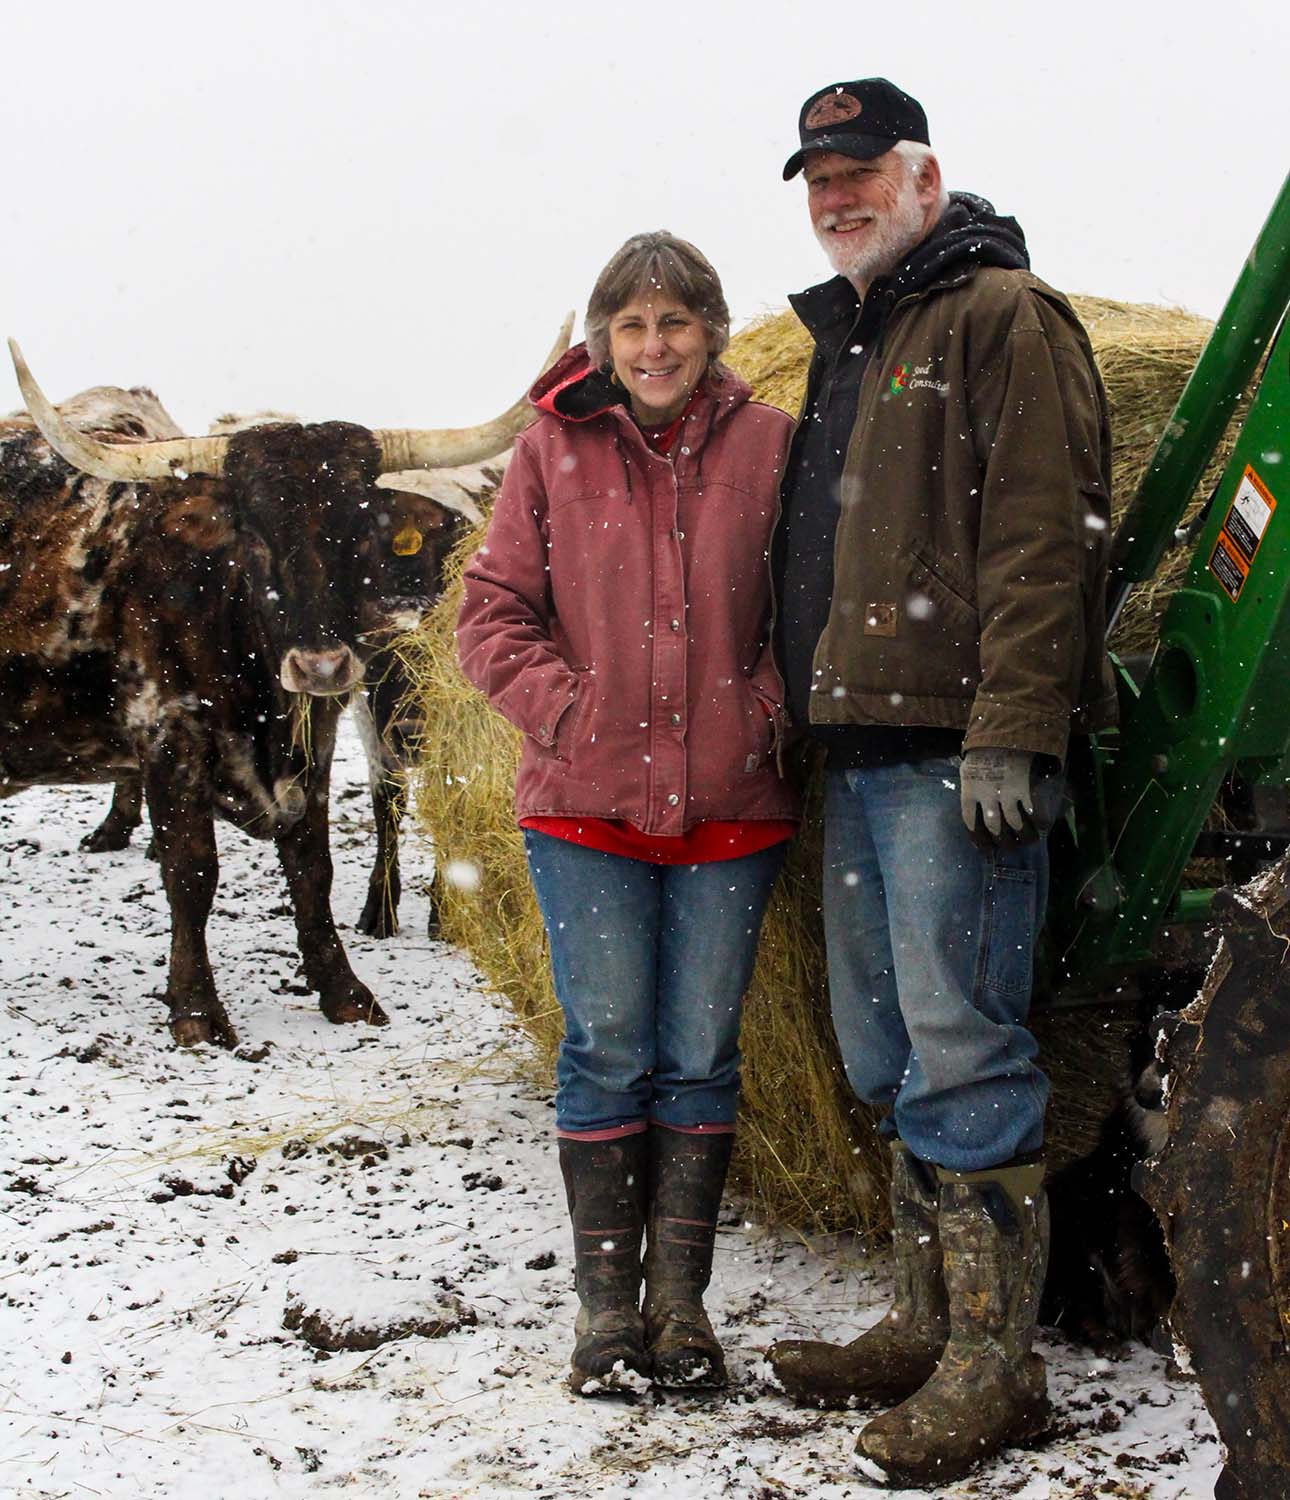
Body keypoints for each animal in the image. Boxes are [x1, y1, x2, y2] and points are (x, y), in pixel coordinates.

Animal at [1, 331, 564, 1056]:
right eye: (253, 535)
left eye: (360, 533)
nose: (321, 665)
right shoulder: (168, 736)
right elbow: (192, 872)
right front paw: (195, 1008)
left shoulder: (314, 735)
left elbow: (311, 865)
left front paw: (344, 990)